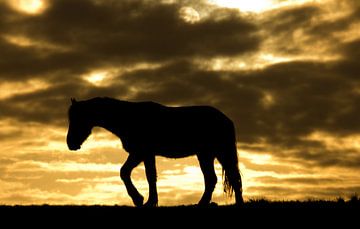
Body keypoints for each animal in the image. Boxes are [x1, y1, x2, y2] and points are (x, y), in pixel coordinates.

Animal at [66, 95, 243, 207]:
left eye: (77, 118)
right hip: (206, 155)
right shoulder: (142, 154)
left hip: (218, 153)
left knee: (231, 177)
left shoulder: (142, 152)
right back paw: (203, 204)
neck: (128, 118)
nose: (70, 144)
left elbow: (141, 175)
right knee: (214, 179)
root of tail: (226, 119)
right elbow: (136, 173)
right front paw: (144, 200)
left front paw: (143, 200)